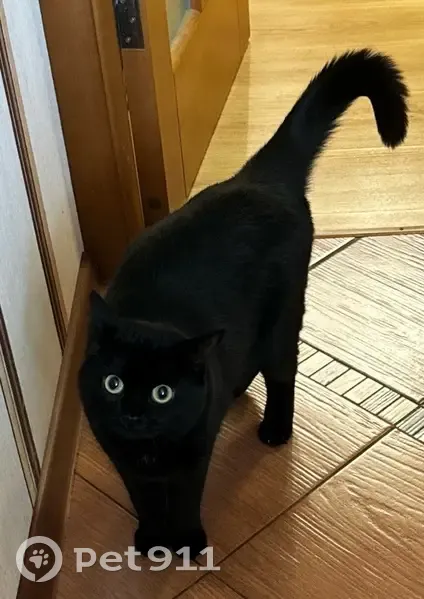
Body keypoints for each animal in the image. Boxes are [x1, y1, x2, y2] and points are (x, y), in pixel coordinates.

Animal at [79, 49, 408, 558]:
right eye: (113, 384)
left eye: (162, 392)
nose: (132, 412)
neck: (151, 448)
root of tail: (258, 175)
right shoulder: (119, 452)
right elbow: (142, 497)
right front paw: (152, 540)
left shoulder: (194, 453)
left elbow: (186, 497)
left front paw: (186, 543)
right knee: (245, 355)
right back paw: (234, 391)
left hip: (284, 316)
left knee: (282, 371)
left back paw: (275, 430)